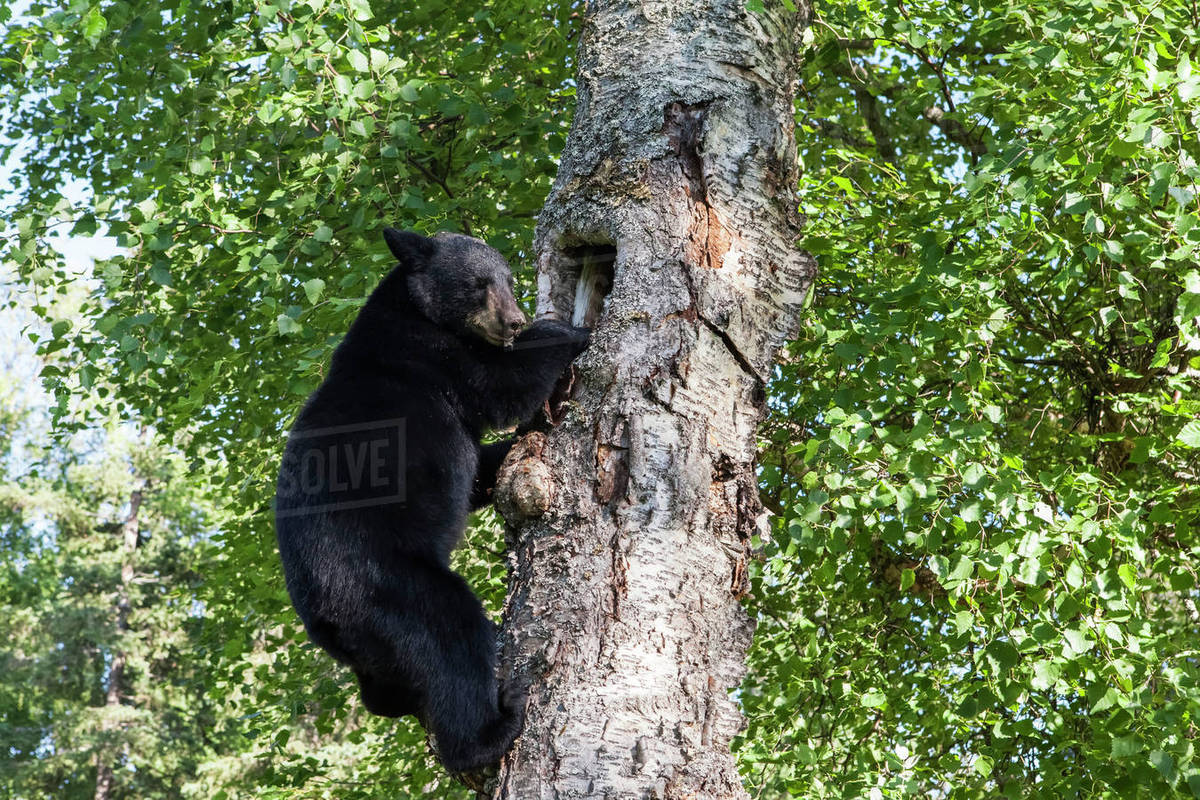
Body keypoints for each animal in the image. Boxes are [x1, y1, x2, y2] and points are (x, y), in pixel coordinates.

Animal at [276, 230, 585, 777]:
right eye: (479, 283)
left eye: (508, 279)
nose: (513, 321)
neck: (412, 311)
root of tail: (323, 620)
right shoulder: (433, 357)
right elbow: (502, 387)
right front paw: (565, 330)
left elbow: (482, 466)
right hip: (388, 585)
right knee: (451, 635)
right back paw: (491, 730)